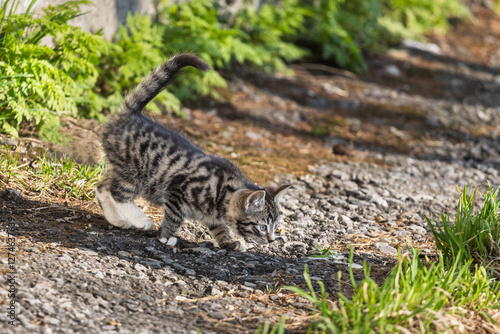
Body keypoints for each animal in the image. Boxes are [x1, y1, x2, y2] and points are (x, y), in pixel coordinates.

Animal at [96, 53, 292, 250]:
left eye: (276, 226)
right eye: (262, 226)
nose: (272, 239)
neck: (224, 194)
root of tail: (129, 116)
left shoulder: (213, 217)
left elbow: (220, 228)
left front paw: (229, 242)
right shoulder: (177, 190)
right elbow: (175, 217)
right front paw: (166, 236)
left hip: (121, 168)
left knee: (102, 187)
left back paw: (117, 220)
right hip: (133, 171)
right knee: (118, 193)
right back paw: (140, 220)